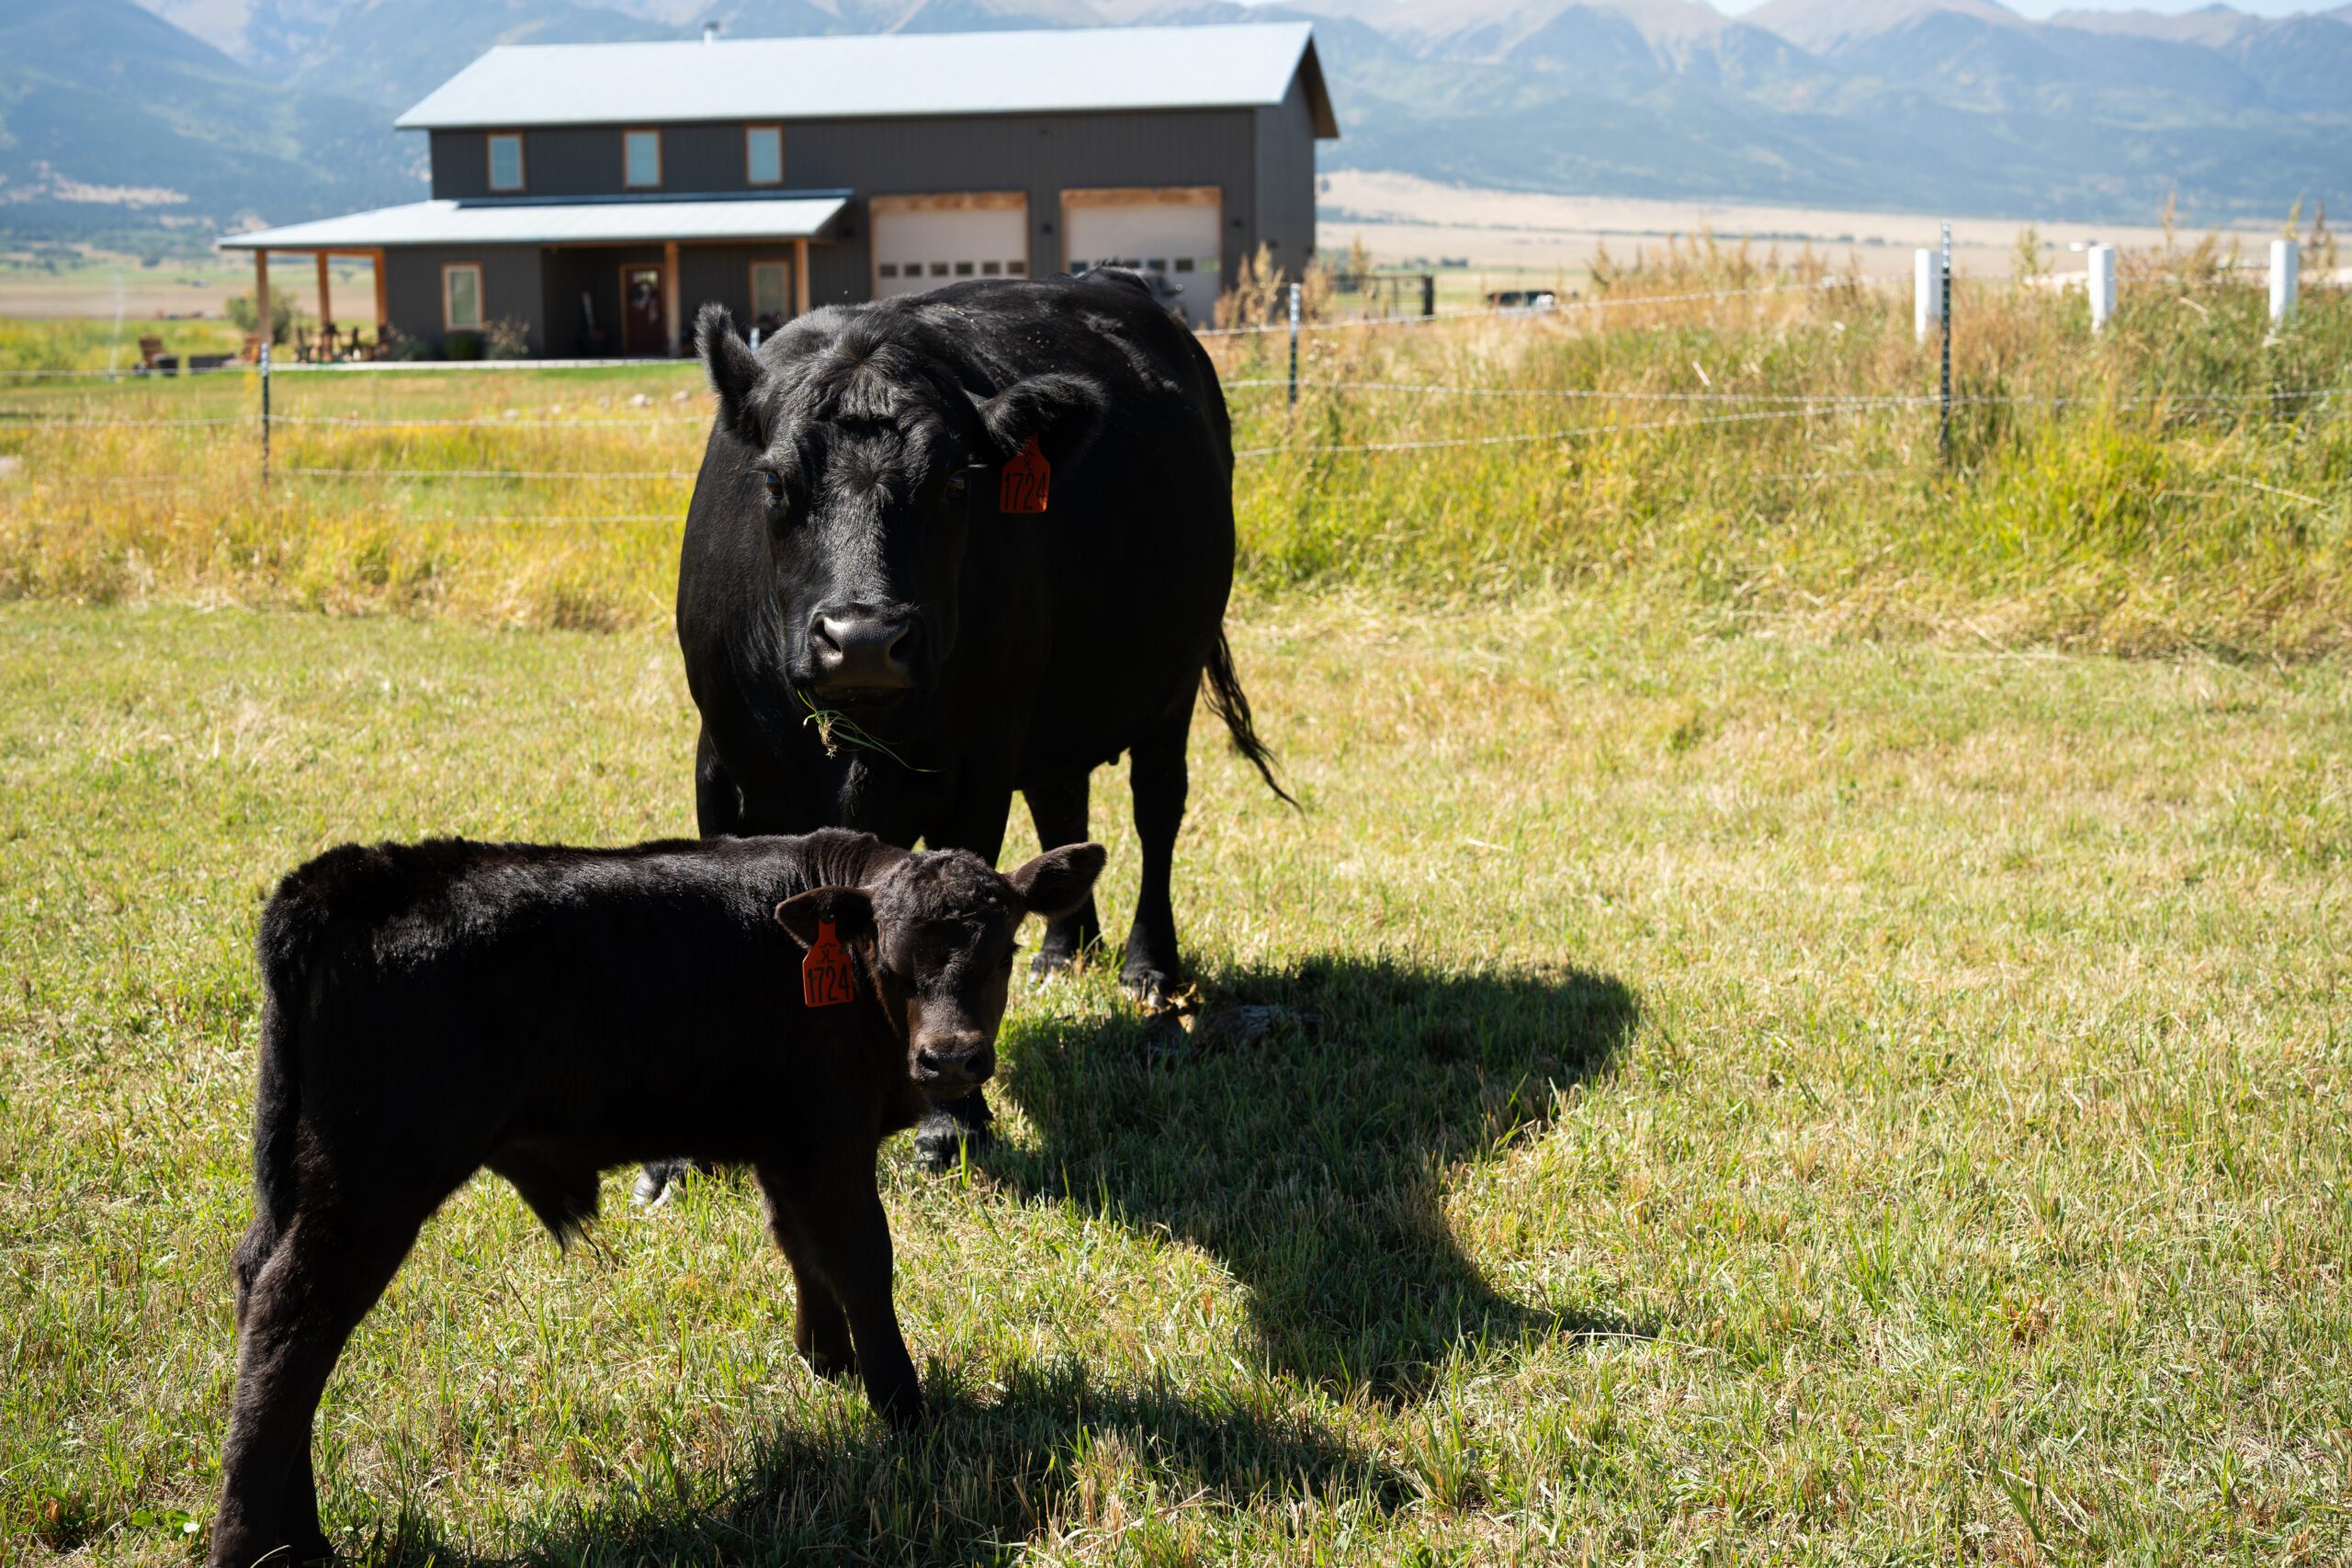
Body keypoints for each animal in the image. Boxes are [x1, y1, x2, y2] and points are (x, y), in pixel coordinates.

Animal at [211, 827, 1110, 1561]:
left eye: (1002, 952)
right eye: (893, 961)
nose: (952, 1058)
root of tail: (352, 875)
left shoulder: (784, 1142)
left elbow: (802, 1245)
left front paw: (826, 1360)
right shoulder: (828, 1138)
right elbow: (862, 1260)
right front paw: (903, 1408)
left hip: (302, 1172)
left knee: (261, 1285)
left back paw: (302, 1536)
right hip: (374, 1179)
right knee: (295, 1316)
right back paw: (256, 1546)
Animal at [673, 272, 1298, 1175]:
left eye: (954, 485)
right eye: (775, 484)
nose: (864, 639)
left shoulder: (976, 761)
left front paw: (953, 1117)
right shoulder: (722, 761)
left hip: (1171, 679)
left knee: (1157, 809)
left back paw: (1147, 964)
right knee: (1064, 804)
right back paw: (1063, 952)